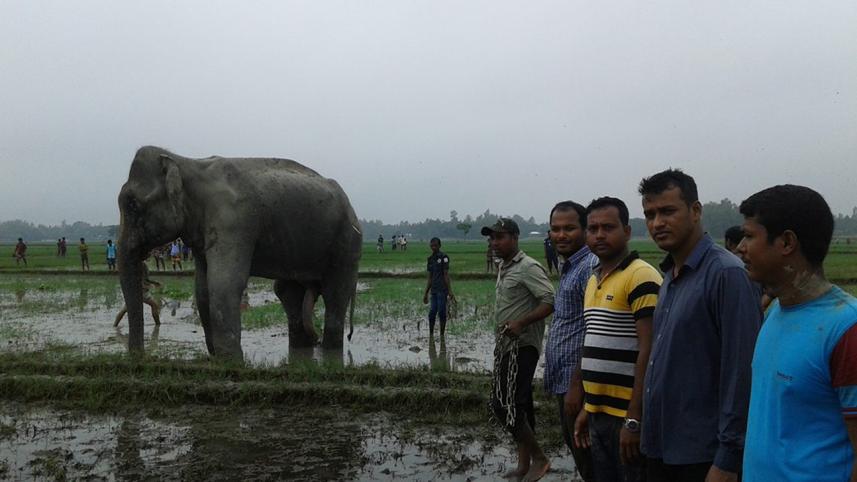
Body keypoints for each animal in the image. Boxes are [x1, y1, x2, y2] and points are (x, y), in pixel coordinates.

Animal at [117, 146, 362, 360]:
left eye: (133, 205)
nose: (139, 357)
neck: (186, 162)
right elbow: (203, 289)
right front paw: (217, 357)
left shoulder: (233, 221)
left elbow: (224, 284)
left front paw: (231, 361)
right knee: (288, 293)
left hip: (347, 241)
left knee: (335, 294)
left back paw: (328, 352)